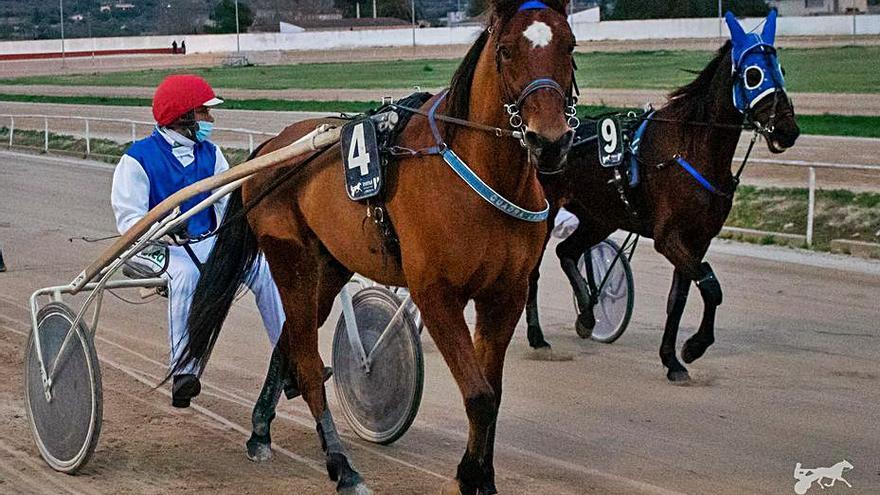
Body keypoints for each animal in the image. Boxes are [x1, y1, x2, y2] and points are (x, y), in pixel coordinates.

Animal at [176, 1, 580, 494]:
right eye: (505, 50)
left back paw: (259, 431)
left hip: (329, 266)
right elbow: (479, 394)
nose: (551, 141)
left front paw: (482, 476)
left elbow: (493, 393)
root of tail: (270, 147)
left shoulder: (504, 294)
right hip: (290, 259)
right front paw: (468, 476)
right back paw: (341, 464)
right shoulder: (436, 295)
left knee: (288, 342)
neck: (481, 177)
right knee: (306, 362)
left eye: (569, 45)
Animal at [524, 12, 800, 384]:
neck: (692, 148)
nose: (787, 130)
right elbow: (710, 285)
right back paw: (538, 337)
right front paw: (694, 347)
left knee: (567, 251)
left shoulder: (697, 238)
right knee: (535, 270)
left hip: (599, 217)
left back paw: (587, 315)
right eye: (753, 74)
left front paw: (673, 359)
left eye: (780, 69)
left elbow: (679, 298)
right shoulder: (668, 237)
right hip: (549, 211)